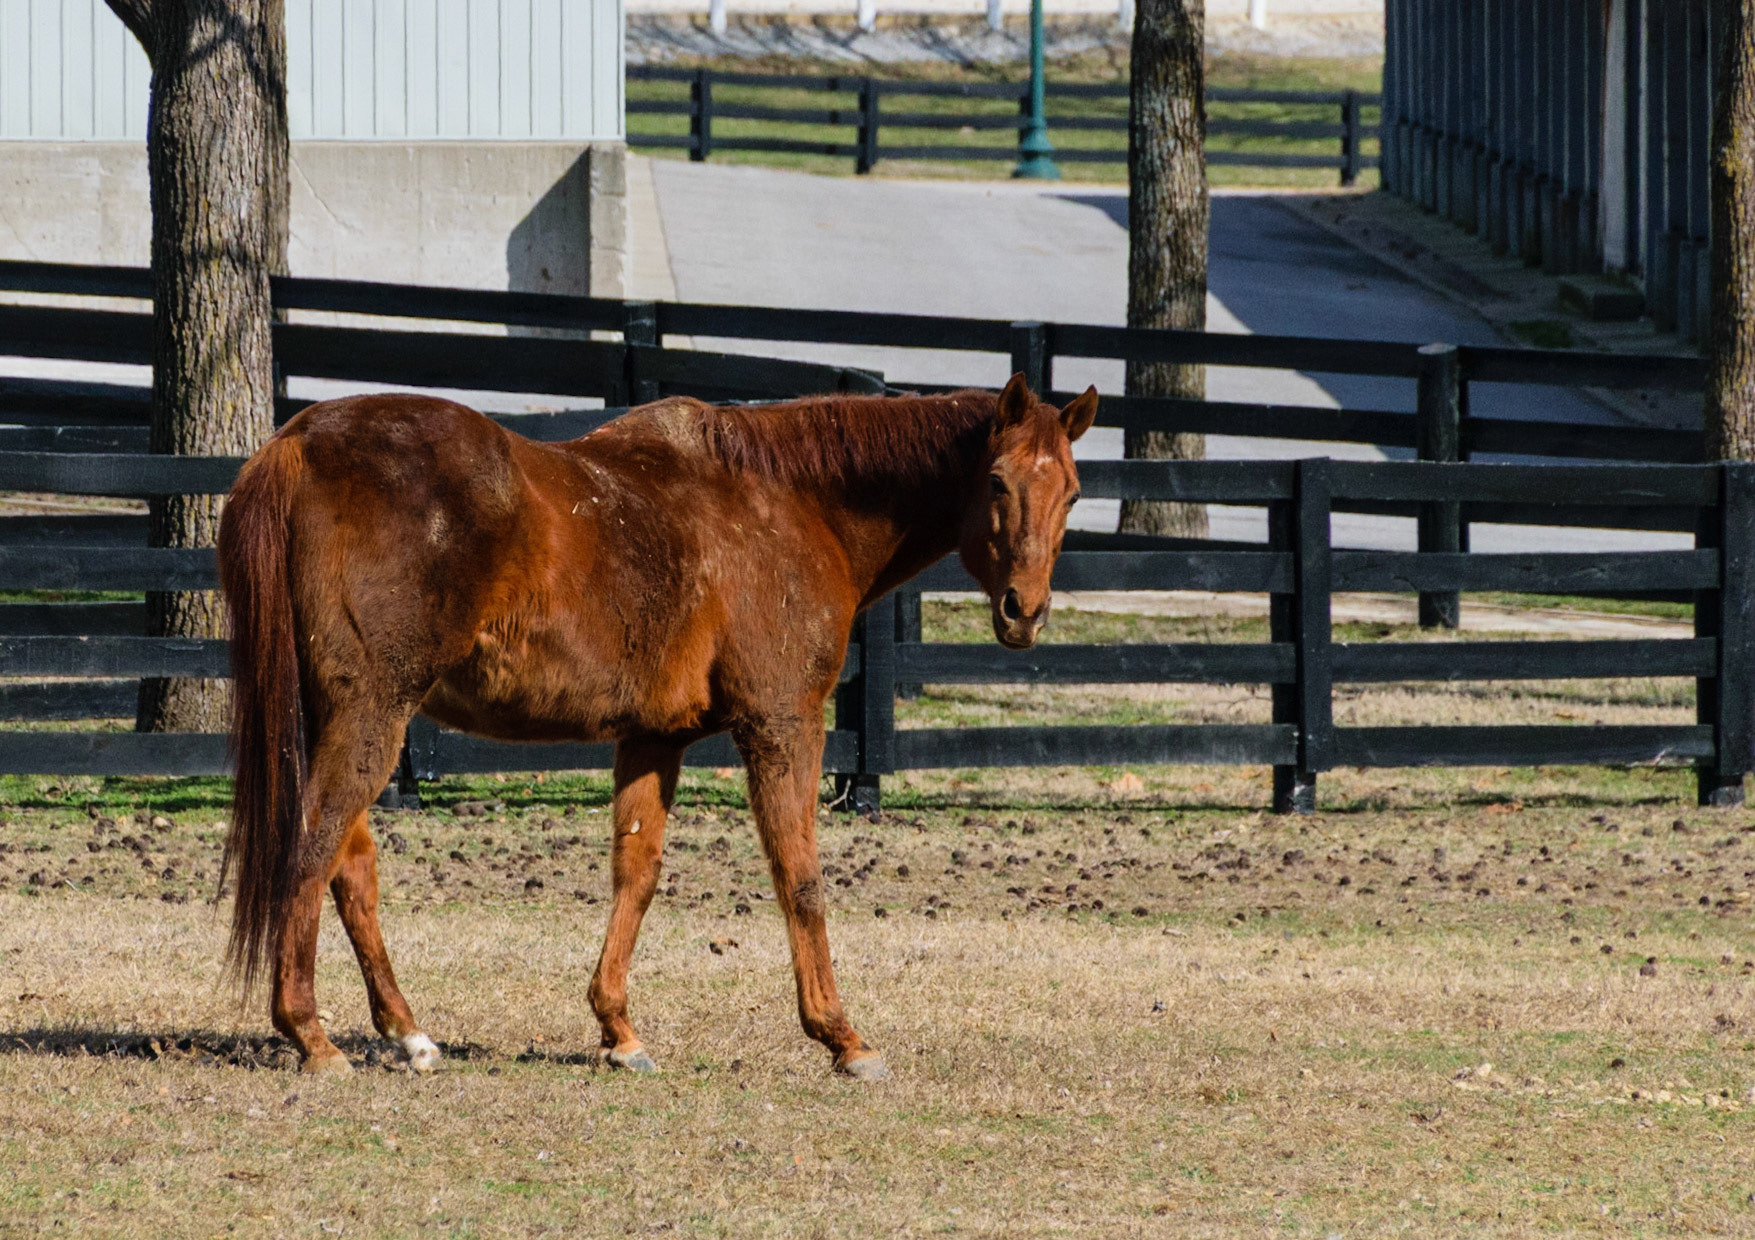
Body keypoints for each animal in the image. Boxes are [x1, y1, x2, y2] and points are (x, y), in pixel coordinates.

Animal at [217, 373, 1097, 1079]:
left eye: (1073, 491)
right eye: (995, 481)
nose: (1024, 612)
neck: (790, 501)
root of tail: (297, 442)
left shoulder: (652, 738)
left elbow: (634, 874)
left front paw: (619, 1030)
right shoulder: (782, 725)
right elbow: (800, 878)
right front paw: (842, 1038)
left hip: (350, 715)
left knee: (349, 866)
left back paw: (407, 1033)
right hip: (372, 712)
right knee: (313, 848)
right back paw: (311, 1036)